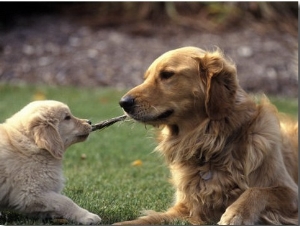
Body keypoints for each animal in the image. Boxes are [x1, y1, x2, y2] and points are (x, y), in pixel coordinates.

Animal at [118, 46, 298, 224]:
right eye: (146, 78)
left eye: (167, 74)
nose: (123, 102)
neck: (209, 146)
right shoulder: (186, 209)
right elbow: (146, 219)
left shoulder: (290, 191)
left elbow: (258, 190)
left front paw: (236, 214)